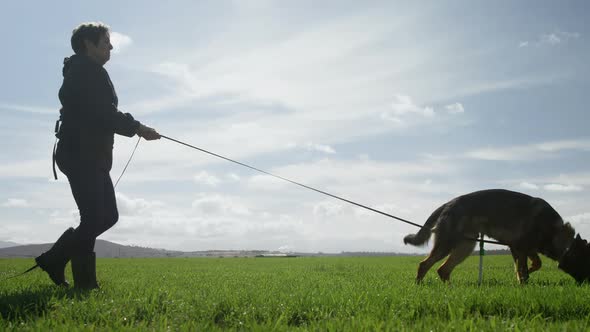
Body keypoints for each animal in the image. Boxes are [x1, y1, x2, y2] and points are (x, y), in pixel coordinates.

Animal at [404, 188, 576, 284]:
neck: (551, 227)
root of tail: (448, 204)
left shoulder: (523, 248)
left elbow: (534, 264)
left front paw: (524, 275)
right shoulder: (520, 247)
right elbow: (523, 270)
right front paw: (523, 283)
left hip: (465, 246)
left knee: (442, 270)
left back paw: (450, 290)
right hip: (448, 245)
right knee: (425, 265)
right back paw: (418, 286)